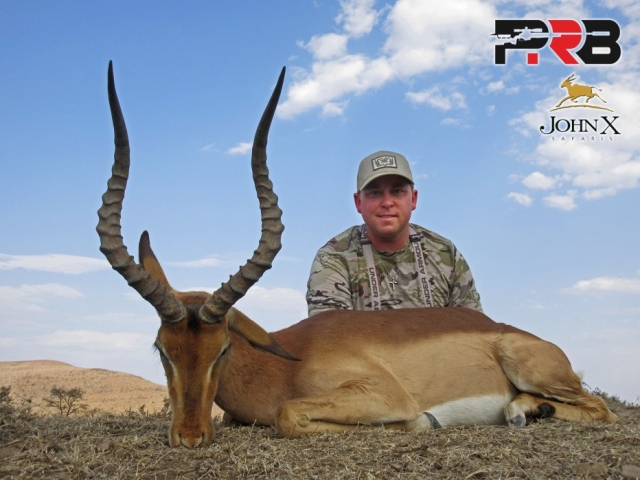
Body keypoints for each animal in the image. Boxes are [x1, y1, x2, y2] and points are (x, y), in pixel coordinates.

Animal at [98, 62, 618, 448]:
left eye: (222, 347)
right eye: (162, 349)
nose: (189, 438)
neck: (287, 364)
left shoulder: (381, 394)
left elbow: (289, 415)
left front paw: (421, 423)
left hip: (531, 366)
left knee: (602, 410)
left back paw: (523, 410)